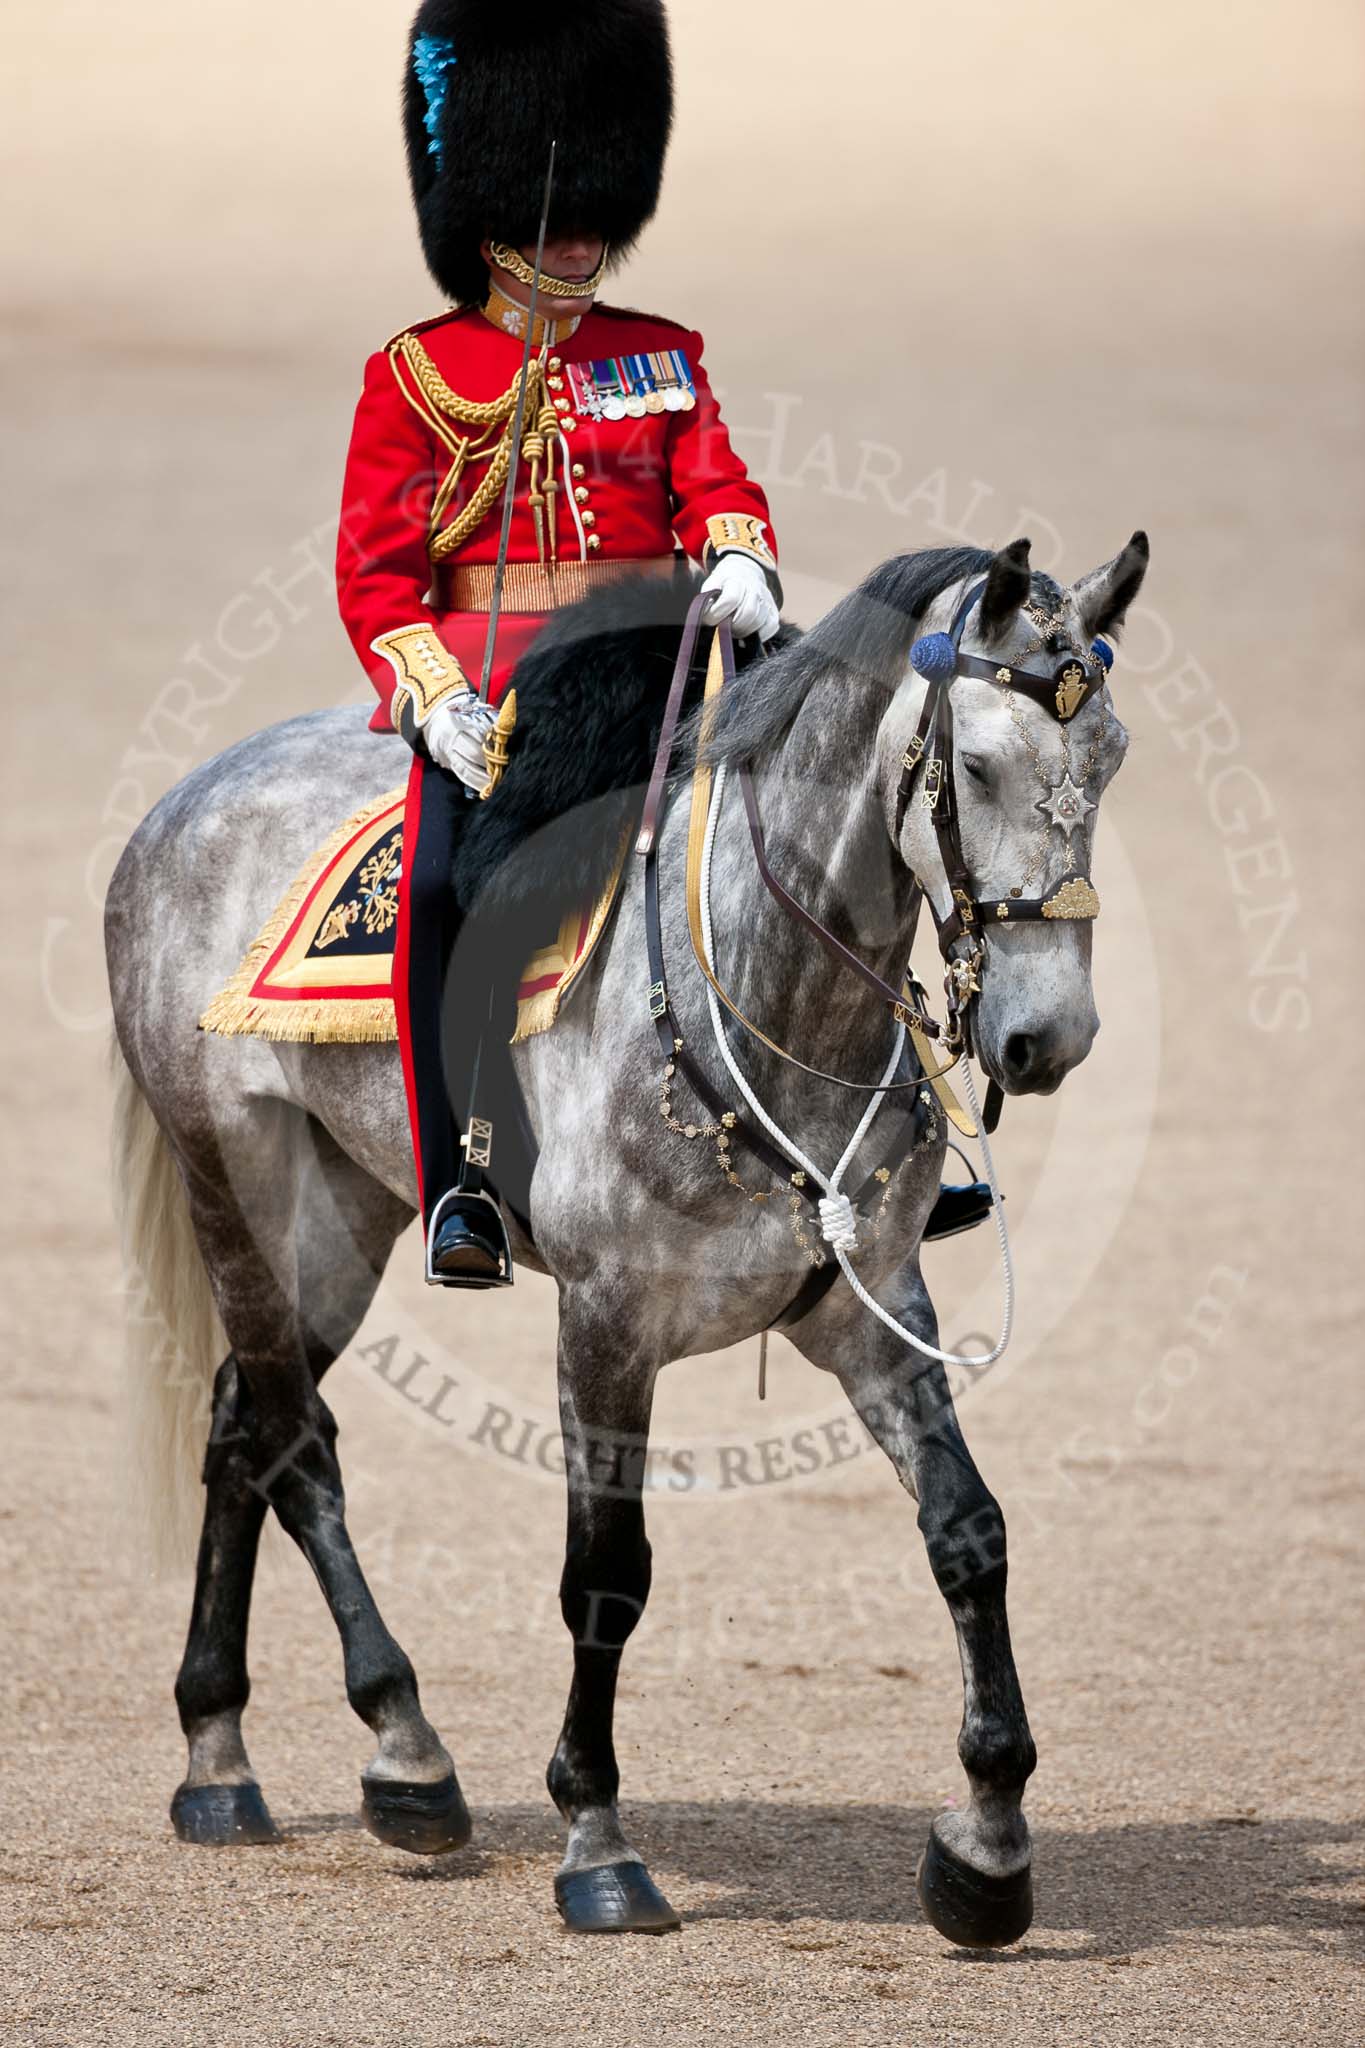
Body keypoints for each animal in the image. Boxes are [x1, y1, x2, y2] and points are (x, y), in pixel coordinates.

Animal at [105, 533, 1147, 1943]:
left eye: (1112, 759)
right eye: (975, 764)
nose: (1050, 1035)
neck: (763, 995)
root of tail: (183, 804)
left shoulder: (872, 1304)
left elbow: (967, 1531)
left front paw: (986, 1848)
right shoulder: (605, 1320)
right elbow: (606, 1569)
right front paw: (596, 1837)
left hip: (345, 1210)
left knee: (238, 1422)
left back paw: (224, 1753)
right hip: (237, 1184)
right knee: (292, 1439)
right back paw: (401, 1744)